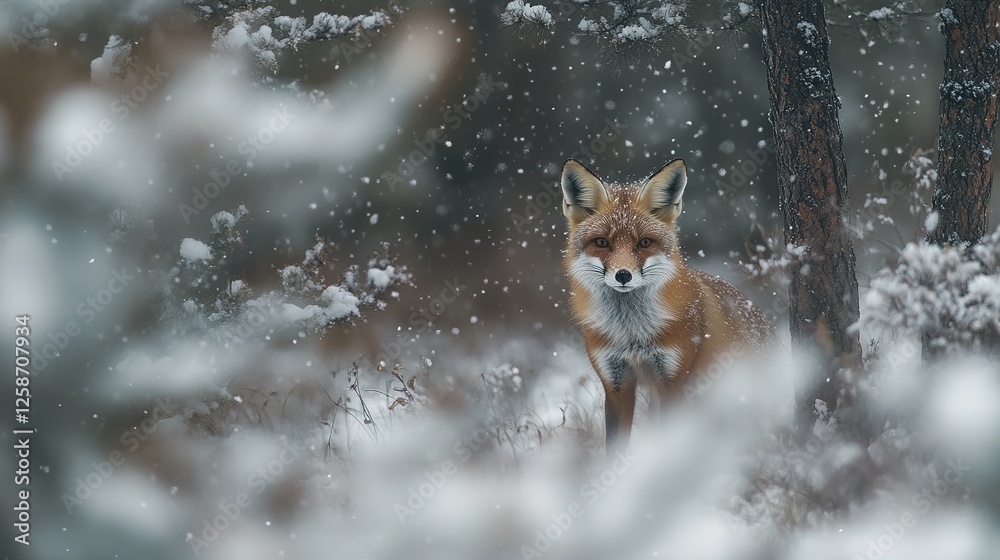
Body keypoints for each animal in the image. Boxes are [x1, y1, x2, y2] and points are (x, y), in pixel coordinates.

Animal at [561, 158, 774, 454]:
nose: (623, 275)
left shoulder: (673, 379)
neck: (632, 333)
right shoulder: (615, 383)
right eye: (602, 242)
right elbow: (614, 449)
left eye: (644, 243)